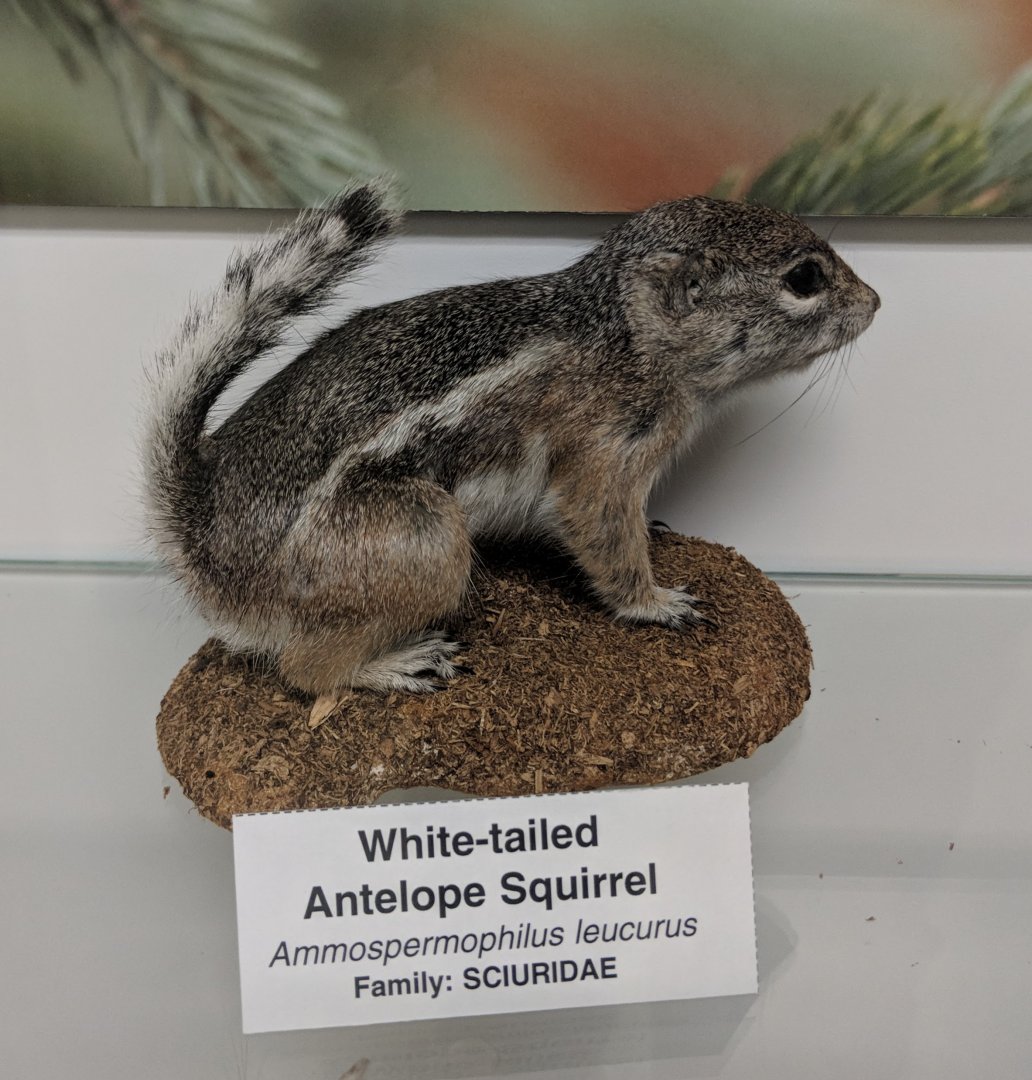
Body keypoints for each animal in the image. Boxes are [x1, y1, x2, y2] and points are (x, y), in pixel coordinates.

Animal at [142, 180, 879, 701]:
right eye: (804, 278)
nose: (874, 303)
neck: (623, 335)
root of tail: (209, 551)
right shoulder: (604, 457)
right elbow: (603, 535)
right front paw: (657, 604)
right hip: (425, 535)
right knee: (303, 668)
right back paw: (395, 665)